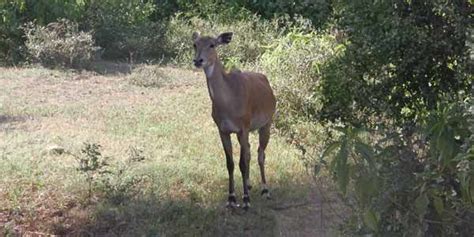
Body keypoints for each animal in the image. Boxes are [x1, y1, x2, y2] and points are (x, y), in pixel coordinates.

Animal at [191, 32, 276, 209]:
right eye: (195, 44)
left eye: (212, 45)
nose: (198, 60)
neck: (229, 103)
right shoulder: (223, 129)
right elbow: (230, 163)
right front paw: (231, 199)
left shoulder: (243, 126)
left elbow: (242, 163)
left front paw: (246, 201)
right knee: (249, 150)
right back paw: (249, 184)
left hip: (267, 122)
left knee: (260, 153)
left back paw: (265, 190)